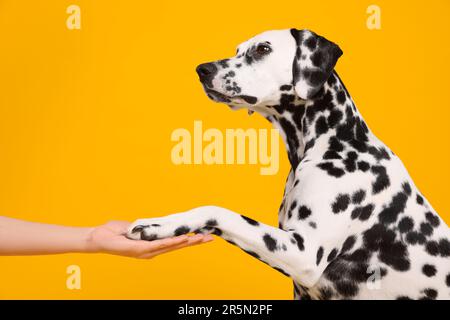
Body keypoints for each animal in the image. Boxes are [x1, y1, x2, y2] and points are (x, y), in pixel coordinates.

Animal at [127, 28, 450, 298]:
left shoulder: (304, 252)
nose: (202, 70)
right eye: (238, 49)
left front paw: (161, 224)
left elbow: (217, 211)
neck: (335, 140)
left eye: (262, 48)